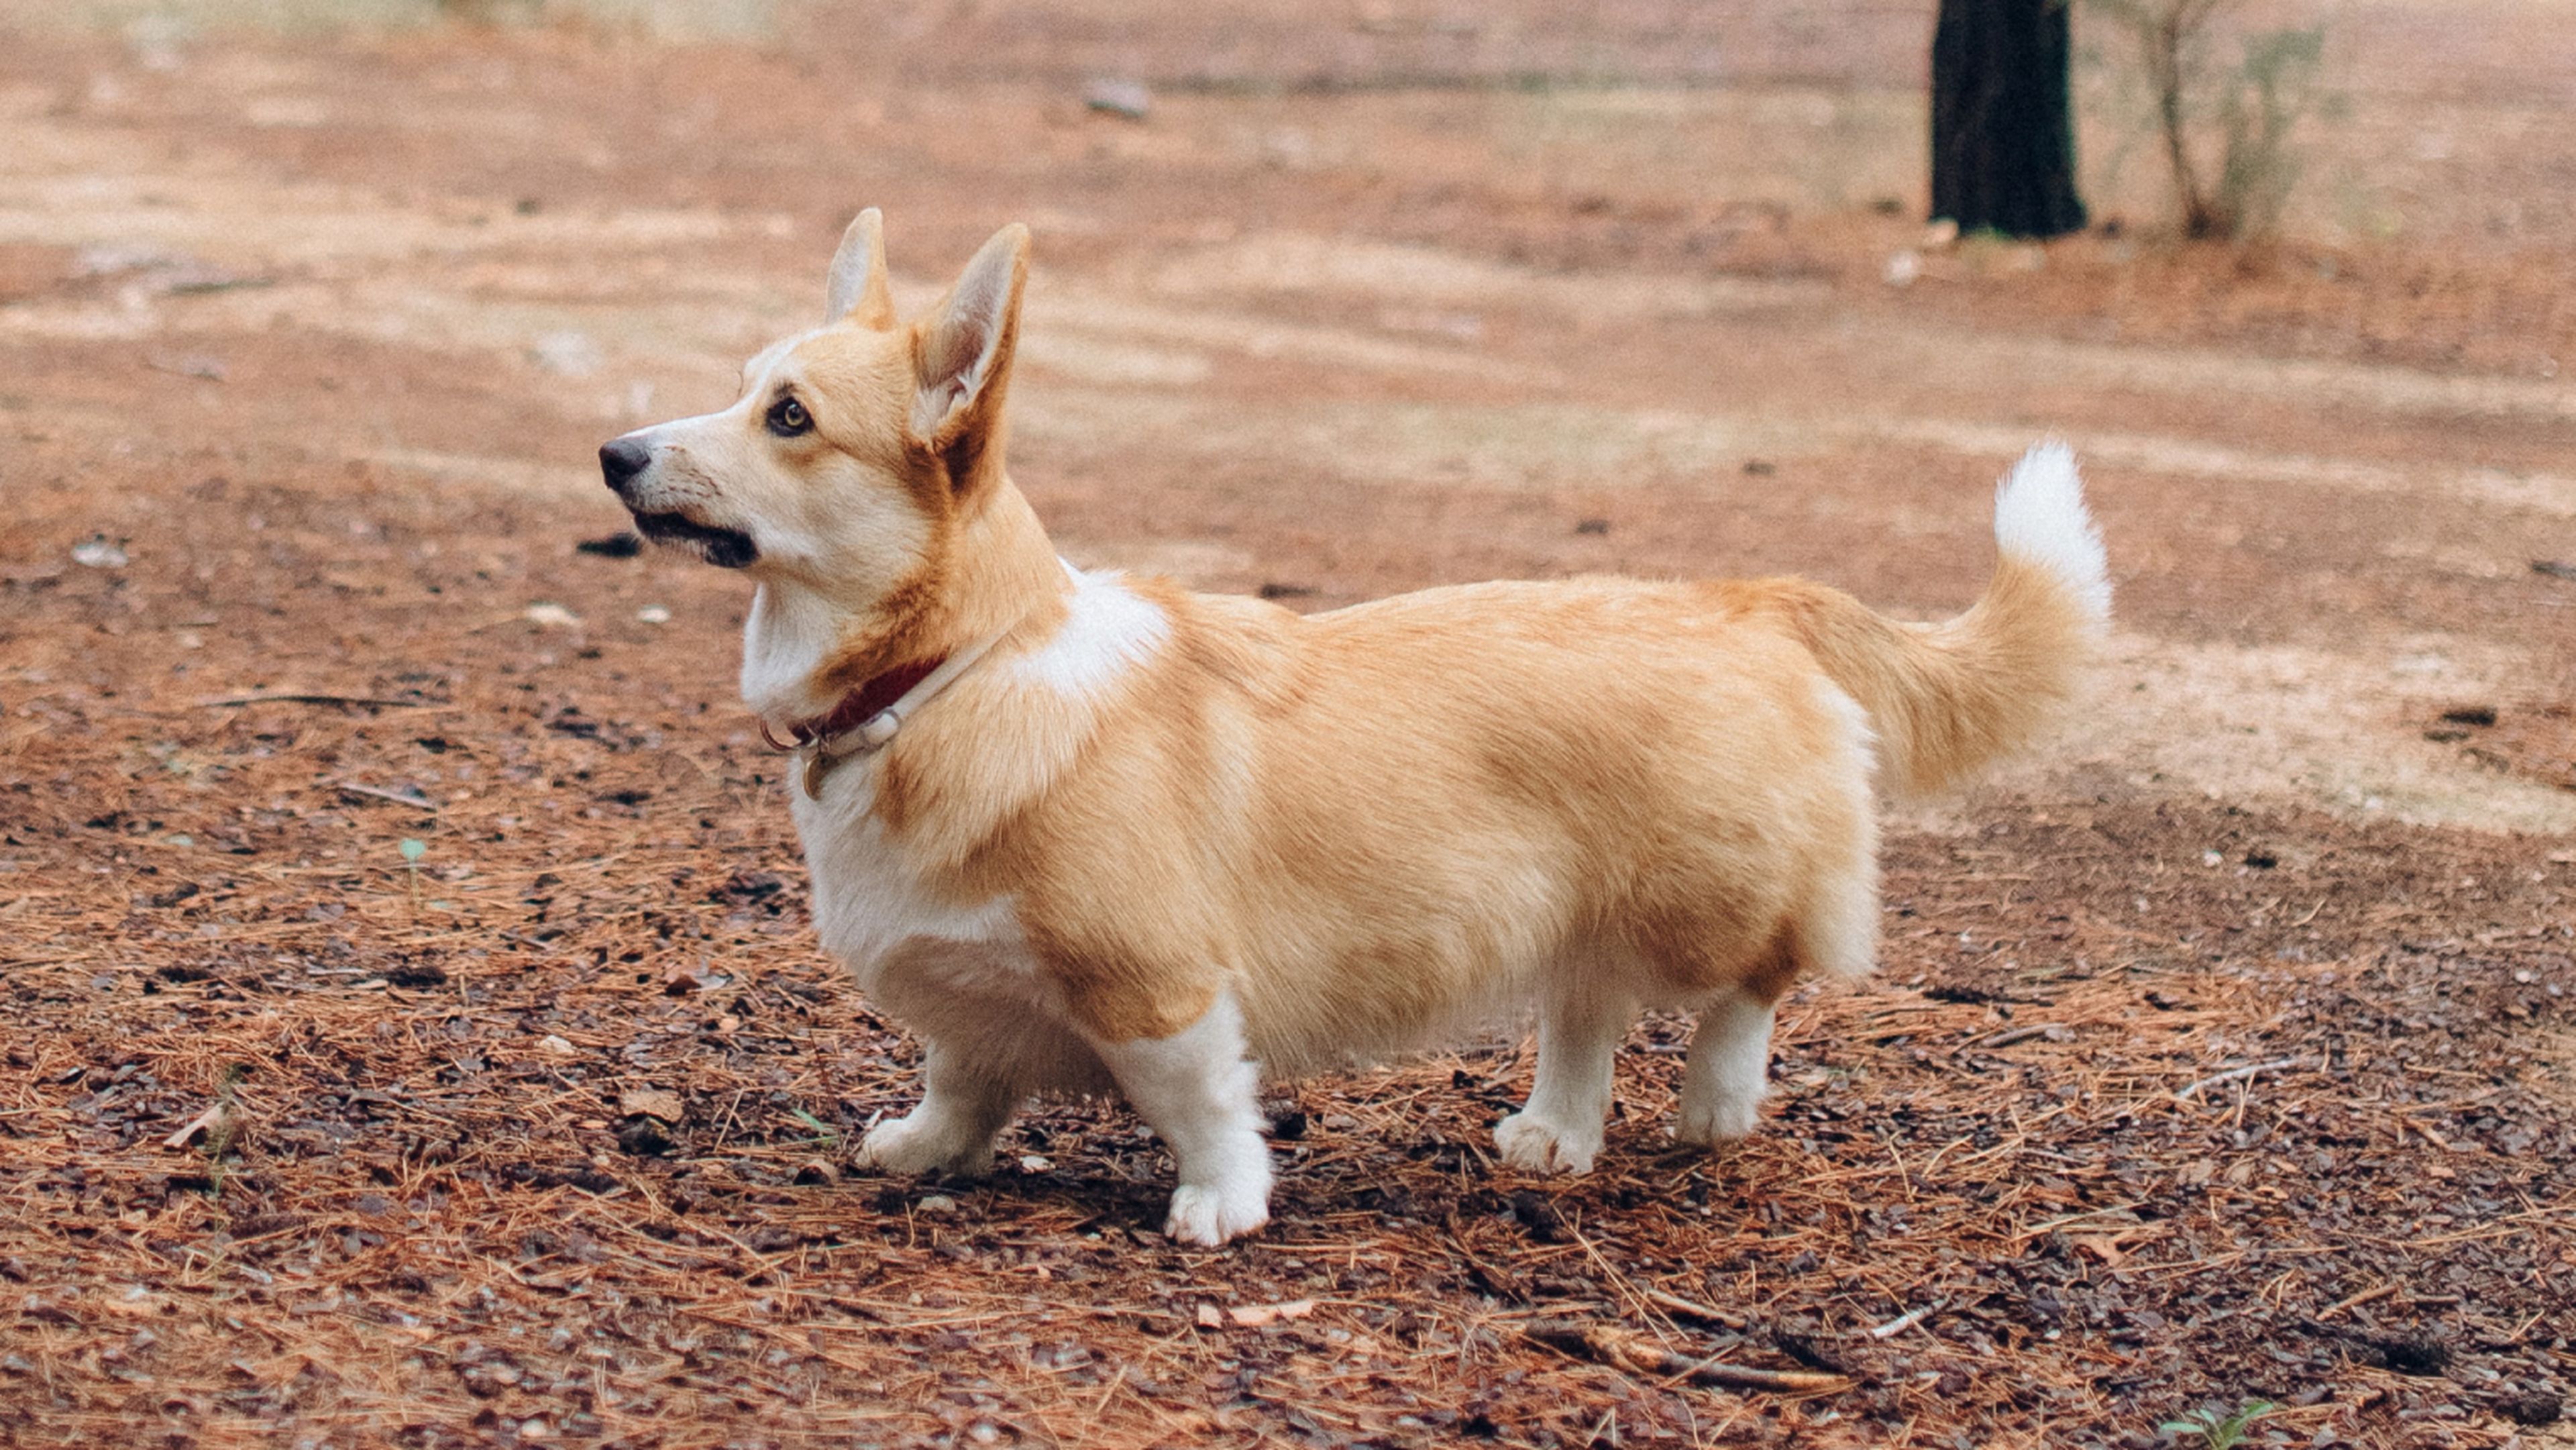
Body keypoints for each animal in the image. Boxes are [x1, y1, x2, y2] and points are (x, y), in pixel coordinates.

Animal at [602, 209, 2112, 1241]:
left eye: (789, 417)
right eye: (743, 385)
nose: (615, 455)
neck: (956, 672)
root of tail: (1746, 599)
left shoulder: (1156, 984)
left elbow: (1203, 1102)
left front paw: (1219, 1207)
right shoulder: (974, 1002)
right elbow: (961, 1076)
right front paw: (923, 1147)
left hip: (1708, 895)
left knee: (1758, 978)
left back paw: (1715, 1103)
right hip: (1571, 908)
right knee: (1586, 1010)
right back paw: (1556, 1134)